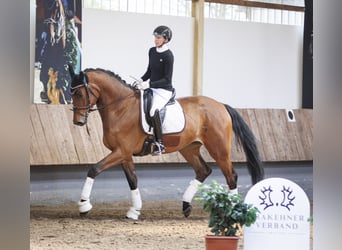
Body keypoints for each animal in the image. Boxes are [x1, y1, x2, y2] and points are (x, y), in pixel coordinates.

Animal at [68, 65, 264, 220]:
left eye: (79, 93)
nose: (78, 122)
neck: (121, 108)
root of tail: (221, 105)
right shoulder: (124, 154)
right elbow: (133, 180)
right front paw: (134, 210)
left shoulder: (121, 152)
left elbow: (94, 169)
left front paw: (84, 205)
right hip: (189, 148)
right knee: (203, 170)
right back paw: (186, 206)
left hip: (219, 149)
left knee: (231, 175)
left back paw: (234, 210)